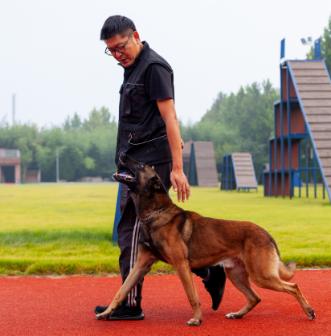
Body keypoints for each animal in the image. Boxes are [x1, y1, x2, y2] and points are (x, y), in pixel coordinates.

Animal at [96, 154, 316, 326]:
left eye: (141, 164)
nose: (122, 154)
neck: (156, 213)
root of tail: (266, 233)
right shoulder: (140, 265)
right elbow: (121, 291)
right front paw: (106, 312)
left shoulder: (181, 265)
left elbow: (192, 296)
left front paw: (197, 319)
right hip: (236, 274)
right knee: (255, 297)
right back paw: (237, 314)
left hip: (261, 276)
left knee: (293, 286)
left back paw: (309, 310)